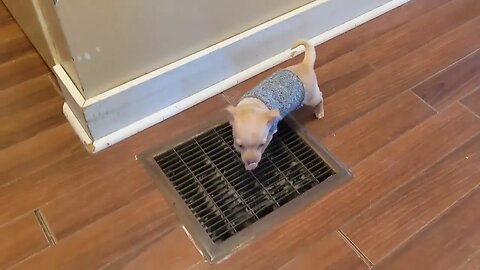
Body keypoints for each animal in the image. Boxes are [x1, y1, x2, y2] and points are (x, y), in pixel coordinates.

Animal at [225, 39, 322, 170]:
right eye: (240, 145)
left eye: (262, 144)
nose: (251, 162)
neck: (253, 105)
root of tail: (304, 65)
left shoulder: (270, 133)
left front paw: (252, 165)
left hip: (311, 97)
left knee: (320, 97)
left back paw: (319, 112)